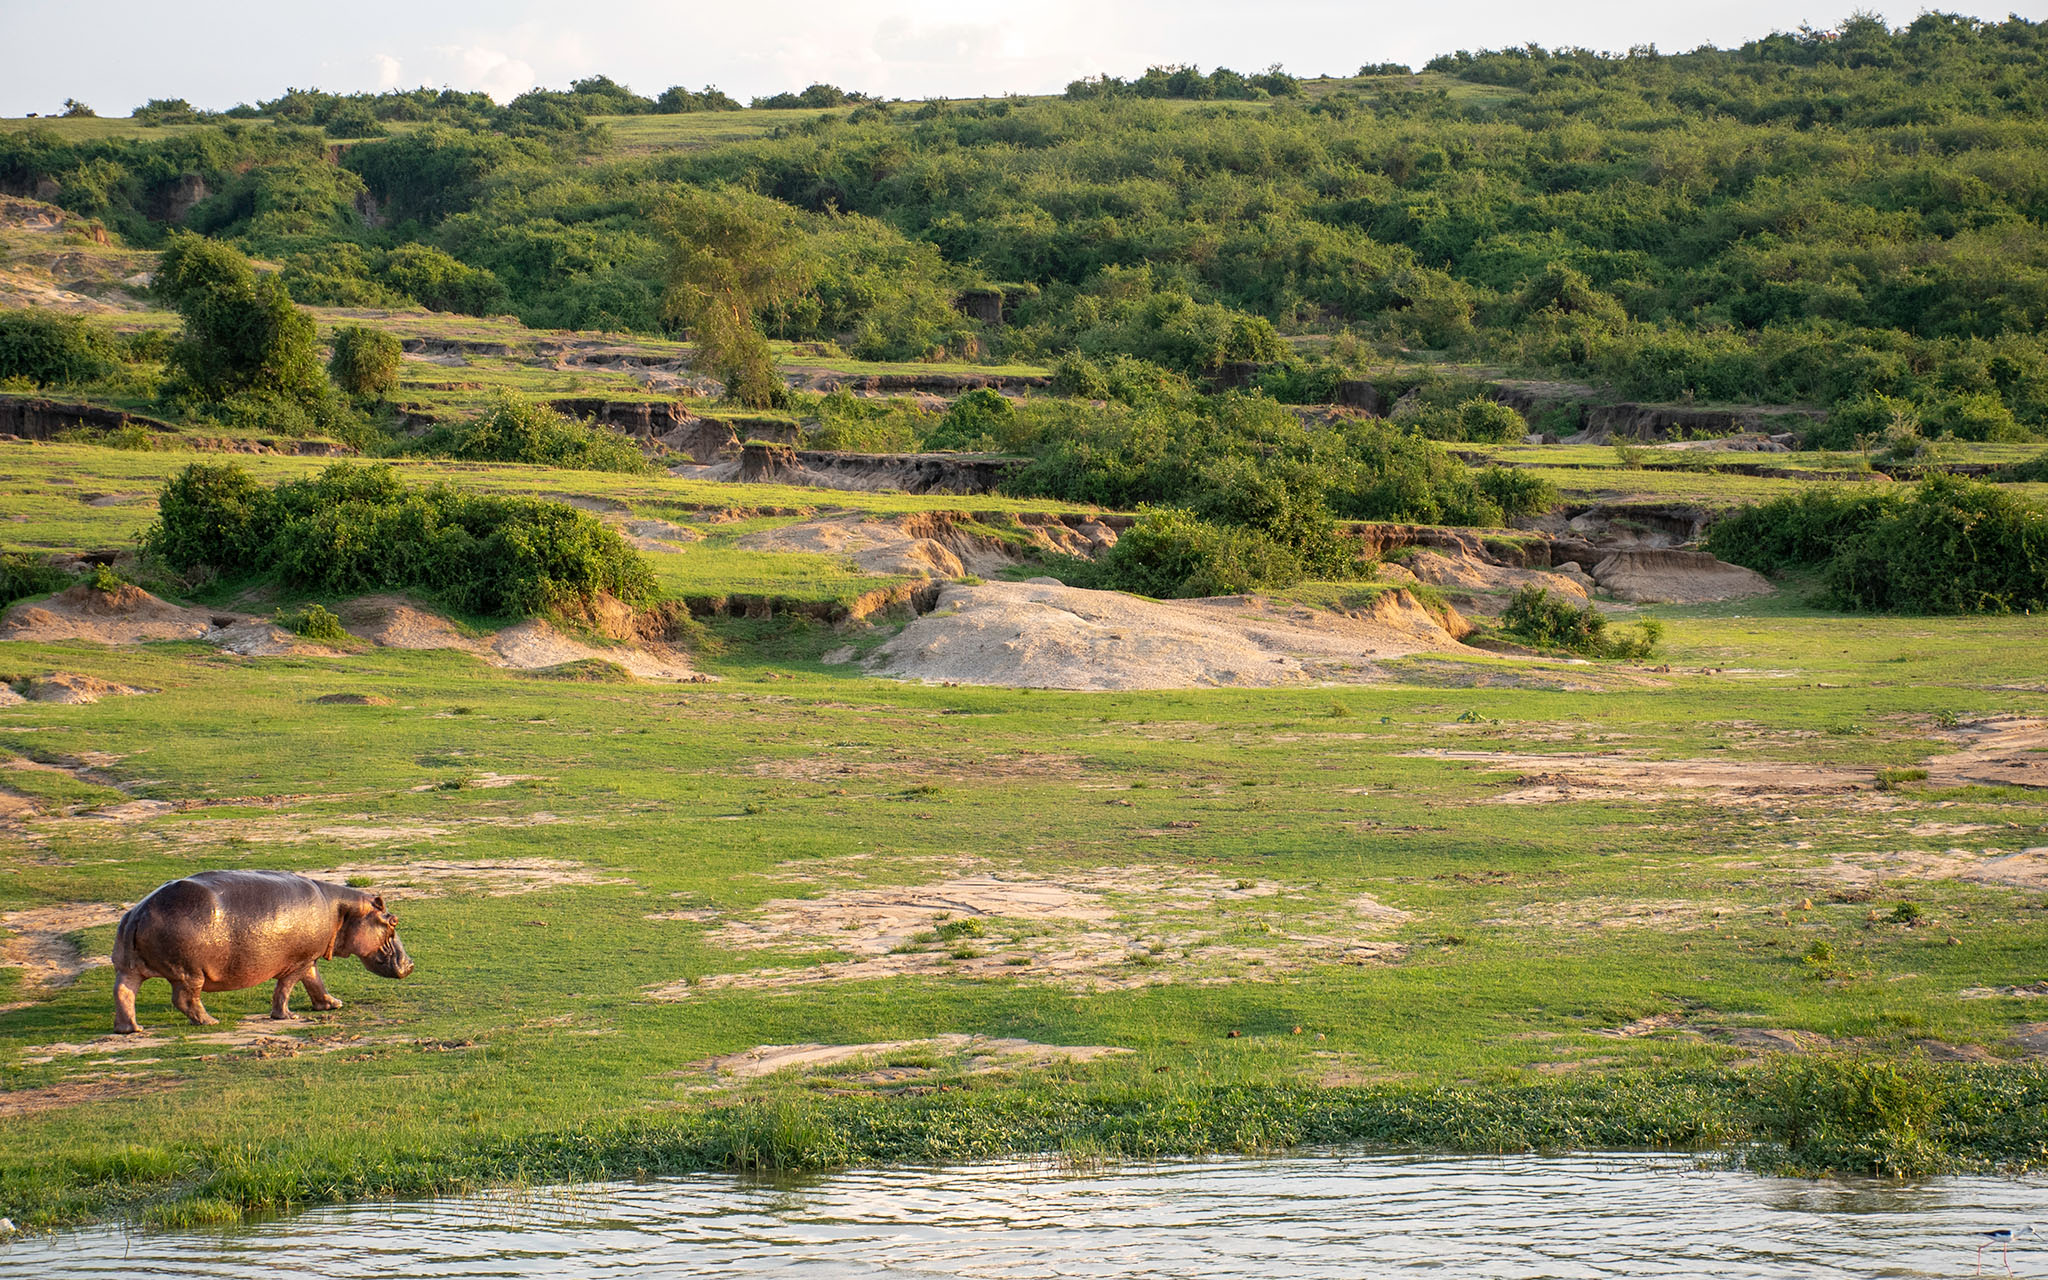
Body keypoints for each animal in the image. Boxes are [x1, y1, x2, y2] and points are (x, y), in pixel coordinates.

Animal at [112, 870, 413, 1034]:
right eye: (393, 921)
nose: (410, 964)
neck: (343, 910)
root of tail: (139, 912)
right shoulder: (298, 961)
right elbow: (286, 987)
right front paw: (288, 1016)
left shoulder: (309, 958)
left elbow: (315, 981)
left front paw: (333, 1004)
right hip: (189, 973)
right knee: (185, 999)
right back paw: (210, 1021)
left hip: (128, 967)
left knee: (124, 993)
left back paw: (130, 1029)